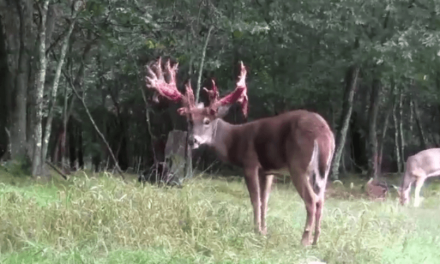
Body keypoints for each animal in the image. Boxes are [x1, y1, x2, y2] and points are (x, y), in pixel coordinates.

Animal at [144, 57, 334, 245]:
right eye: (190, 121)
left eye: (207, 121)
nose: (192, 140)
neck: (234, 140)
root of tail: (324, 134)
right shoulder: (267, 171)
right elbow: (265, 201)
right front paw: (264, 231)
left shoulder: (250, 162)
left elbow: (255, 200)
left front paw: (256, 230)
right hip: (322, 170)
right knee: (321, 199)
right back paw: (316, 240)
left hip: (298, 164)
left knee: (312, 200)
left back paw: (304, 240)